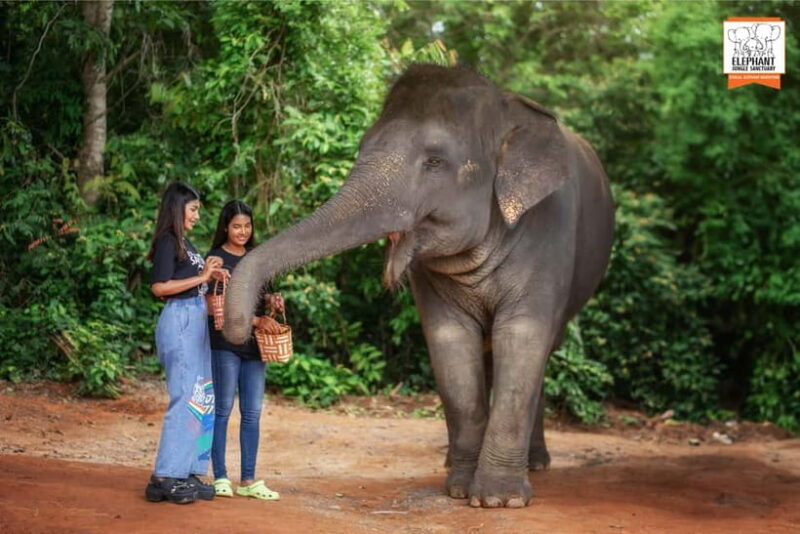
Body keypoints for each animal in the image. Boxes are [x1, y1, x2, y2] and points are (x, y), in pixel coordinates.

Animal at [223, 65, 614, 508]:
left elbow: (523, 337)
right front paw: (460, 489)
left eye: (435, 161)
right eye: (362, 148)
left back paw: (537, 465)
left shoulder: (549, 234)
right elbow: (450, 343)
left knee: (541, 351)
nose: (240, 327)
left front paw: (499, 500)